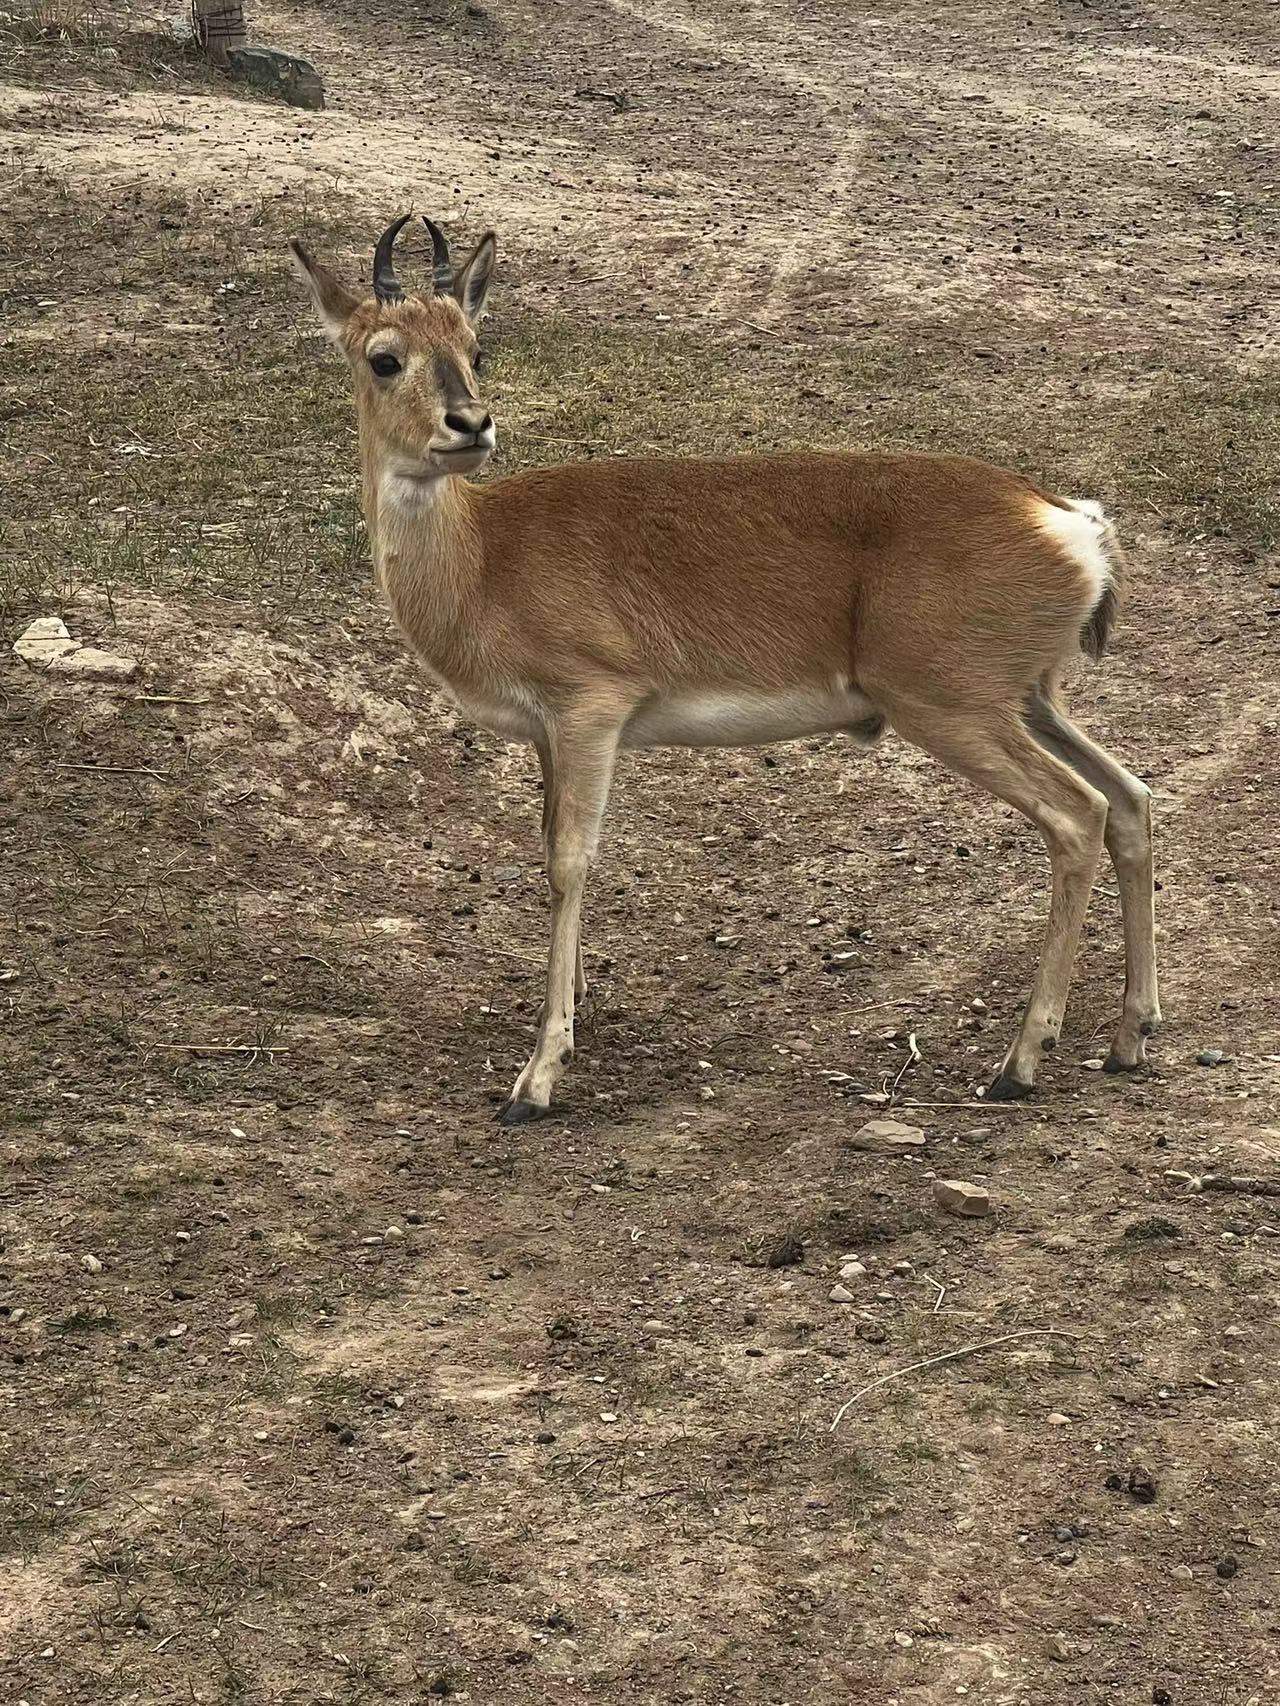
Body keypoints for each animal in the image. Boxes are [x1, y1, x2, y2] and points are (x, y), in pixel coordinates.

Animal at [293, 213, 1160, 1119]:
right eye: (384, 355)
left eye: (474, 345)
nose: (470, 424)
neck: (487, 557)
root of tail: (1073, 523)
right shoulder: (546, 734)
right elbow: (549, 849)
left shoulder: (590, 709)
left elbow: (569, 860)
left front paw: (537, 1075)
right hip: (1030, 700)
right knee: (1132, 799)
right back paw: (1129, 1038)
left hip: (955, 708)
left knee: (1079, 814)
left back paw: (1020, 1060)